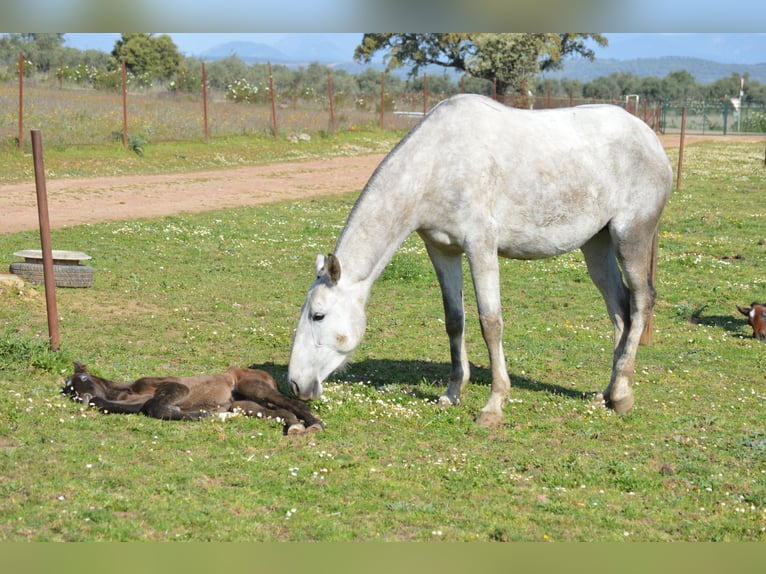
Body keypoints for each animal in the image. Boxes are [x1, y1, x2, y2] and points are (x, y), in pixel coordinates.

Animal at [61, 362, 322, 438]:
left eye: (83, 377)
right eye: (68, 390)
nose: (80, 396)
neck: (128, 392)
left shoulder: (175, 386)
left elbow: (153, 406)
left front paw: (205, 415)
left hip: (255, 388)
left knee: (294, 403)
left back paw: (315, 424)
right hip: (245, 405)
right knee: (282, 412)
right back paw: (295, 426)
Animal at [286, 94, 672, 428]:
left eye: (318, 315)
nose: (294, 385)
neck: (436, 164)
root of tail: (650, 138)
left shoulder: (480, 246)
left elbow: (490, 322)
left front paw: (494, 405)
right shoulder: (442, 249)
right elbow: (454, 320)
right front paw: (452, 392)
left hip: (631, 236)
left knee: (641, 301)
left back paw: (622, 395)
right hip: (597, 245)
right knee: (619, 310)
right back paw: (607, 392)